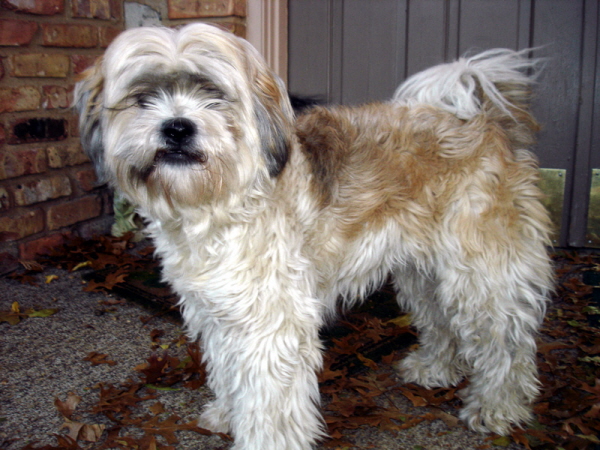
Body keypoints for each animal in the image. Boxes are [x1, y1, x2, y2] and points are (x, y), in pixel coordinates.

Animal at [74, 23, 553, 449]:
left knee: (507, 345)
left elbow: (270, 405)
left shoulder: (271, 325)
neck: (222, 201)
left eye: (214, 95)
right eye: (142, 99)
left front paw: (261, 441)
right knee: (442, 322)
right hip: (425, 273)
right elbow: (230, 374)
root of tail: (487, 120)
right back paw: (435, 369)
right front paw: (229, 414)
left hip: (482, 277)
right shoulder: (220, 313)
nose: (176, 127)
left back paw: (498, 406)